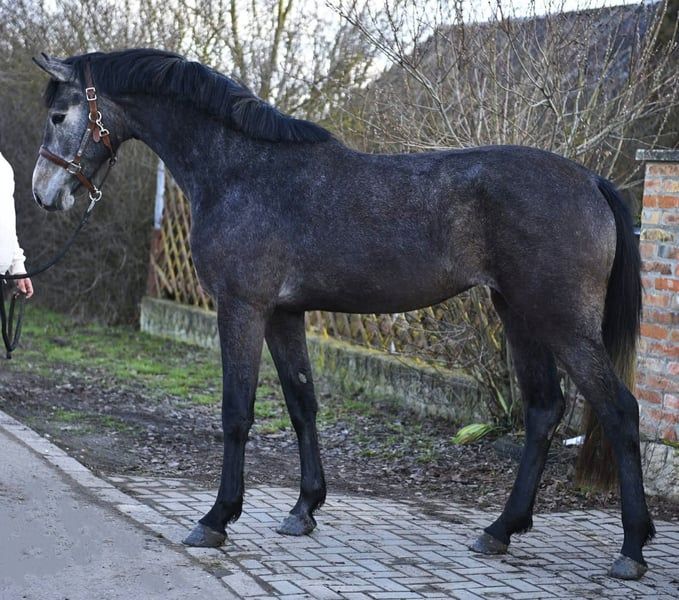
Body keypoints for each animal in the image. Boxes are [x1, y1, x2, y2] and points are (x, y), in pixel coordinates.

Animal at [31, 49, 653, 580]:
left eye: (61, 114)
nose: (43, 194)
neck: (242, 170)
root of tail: (591, 181)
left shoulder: (242, 308)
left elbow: (237, 413)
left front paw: (216, 519)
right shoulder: (283, 314)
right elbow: (302, 404)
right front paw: (304, 509)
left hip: (561, 323)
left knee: (619, 410)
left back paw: (631, 549)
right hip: (520, 318)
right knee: (544, 411)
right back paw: (500, 530)